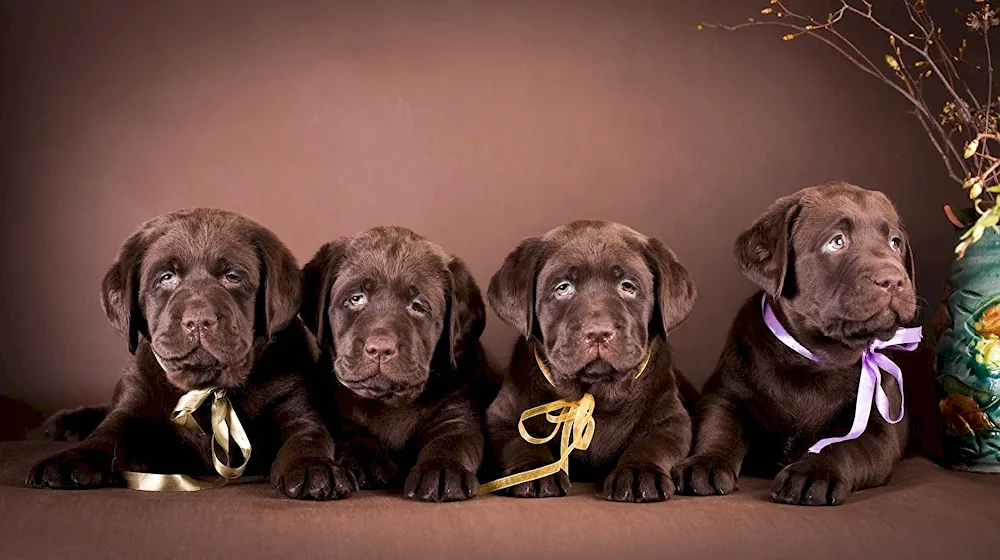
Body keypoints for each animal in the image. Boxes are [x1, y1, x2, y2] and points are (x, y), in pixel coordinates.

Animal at [27, 209, 352, 498]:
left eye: (232, 276)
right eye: (166, 277)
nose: (198, 319)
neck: (209, 390)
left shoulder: (293, 402)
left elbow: (307, 436)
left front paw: (313, 467)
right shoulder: (136, 403)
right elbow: (107, 432)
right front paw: (71, 459)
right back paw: (69, 422)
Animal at [304, 226, 492, 504]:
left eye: (418, 306)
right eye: (356, 298)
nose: (380, 348)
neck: (389, 401)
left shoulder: (459, 408)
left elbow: (452, 439)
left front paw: (442, 470)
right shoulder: (336, 409)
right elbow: (351, 432)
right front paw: (366, 462)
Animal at [486, 220, 696, 504]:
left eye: (628, 286)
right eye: (563, 287)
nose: (598, 332)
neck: (593, 393)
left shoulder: (672, 419)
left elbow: (653, 443)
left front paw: (638, 472)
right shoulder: (502, 416)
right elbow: (521, 441)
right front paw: (535, 471)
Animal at [676, 182, 916, 506]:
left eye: (894, 242)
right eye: (836, 242)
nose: (893, 280)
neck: (814, 358)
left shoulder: (879, 430)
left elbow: (842, 446)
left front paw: (813, 473)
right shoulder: (727, 394)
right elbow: (718, 427)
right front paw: (705, 463)